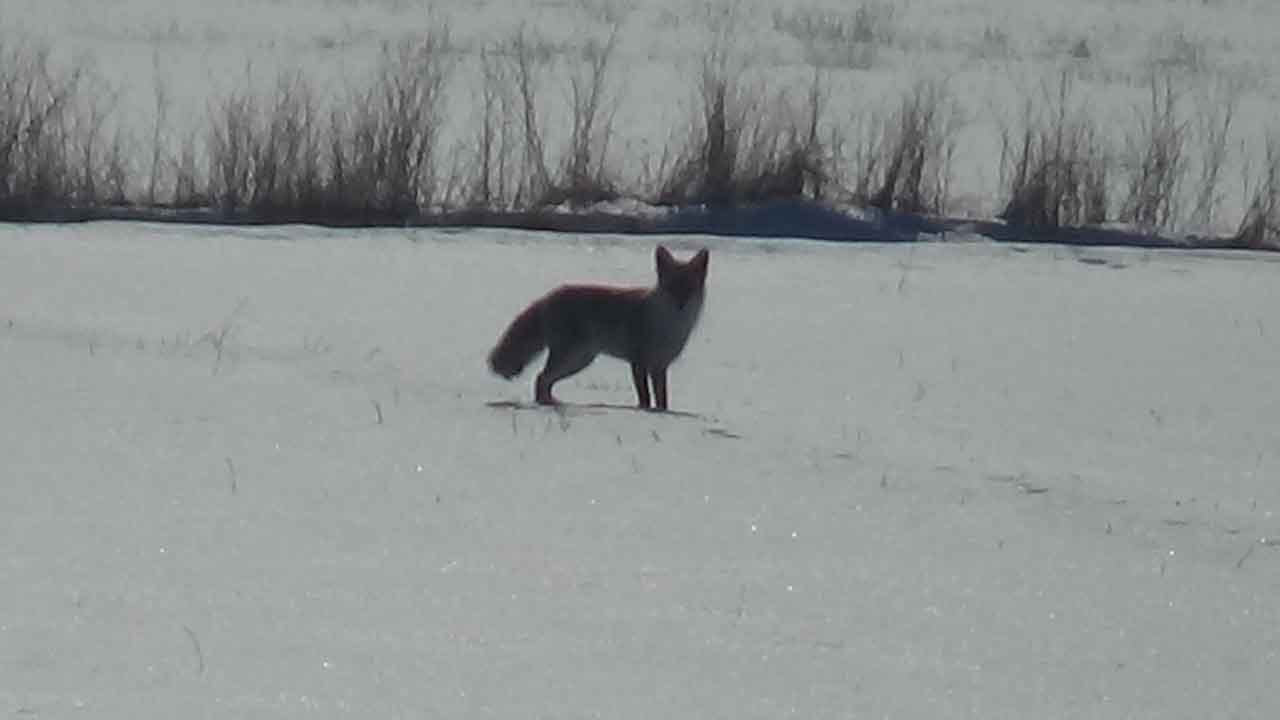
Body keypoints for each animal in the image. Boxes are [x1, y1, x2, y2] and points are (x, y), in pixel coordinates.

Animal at [486, 243, 711, 409]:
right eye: (671, 287)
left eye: (689, 288)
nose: (681, 304)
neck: (668, 326)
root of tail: (549, 296)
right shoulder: (638, 362)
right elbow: (645, 398)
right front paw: (646, 413)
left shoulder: (659, 366)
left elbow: (662, 399)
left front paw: (663, 414)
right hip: (572, 357)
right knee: (541, 377)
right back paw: (549, 405)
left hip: (580, 360)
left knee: (544, 379)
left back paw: (553, 403)